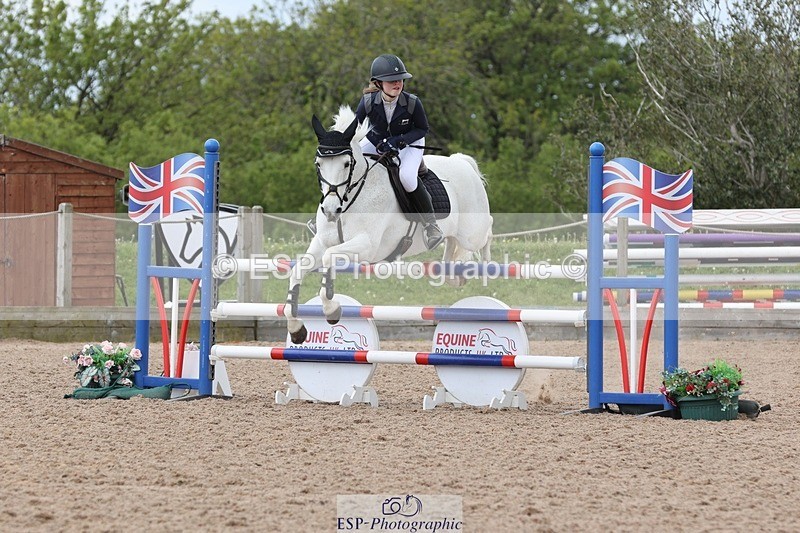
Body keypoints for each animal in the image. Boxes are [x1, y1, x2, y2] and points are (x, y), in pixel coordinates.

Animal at [286, 105, 493, 344]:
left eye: (346, 164)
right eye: (318, 165)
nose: (330, 210)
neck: (349, 201)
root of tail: (462, 162)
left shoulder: (367, 247)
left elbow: (330, 259)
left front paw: (332, 309)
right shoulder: (321, 243)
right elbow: (298, 270)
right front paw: (296, 329)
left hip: (472, 232)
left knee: (487, 230)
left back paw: (486, 267)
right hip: (456, 234)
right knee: (449, 244)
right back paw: (452, 275)